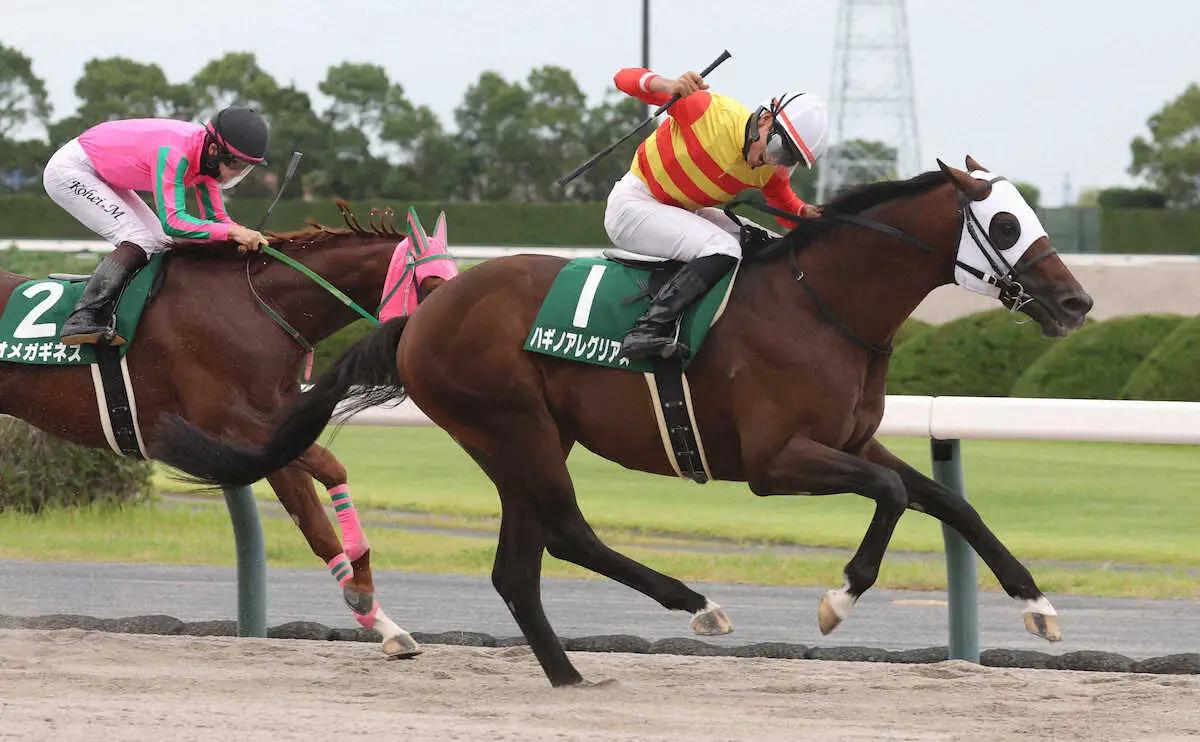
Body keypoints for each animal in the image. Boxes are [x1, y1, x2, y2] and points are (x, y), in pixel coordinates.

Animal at [0, 200, 451, 653]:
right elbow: (331, 467)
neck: (258, 308)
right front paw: (362, 573)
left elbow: (316, 528)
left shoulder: (279, 434)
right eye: (432, 285)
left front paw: (381, 621)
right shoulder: (230, 424)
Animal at [150, 158, 1099, 686]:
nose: (1078, 302)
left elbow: (947, 501)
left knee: (520, 565)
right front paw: (838, 598)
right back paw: (696, 606)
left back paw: (572, 675)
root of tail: (422, 314)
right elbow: (893, 500)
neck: (821, 304)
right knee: (566, 531)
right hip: (514, 427)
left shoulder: (850, 437)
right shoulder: (777, 460)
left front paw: (1039, 606)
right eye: (1005, 220)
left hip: (520, 438)